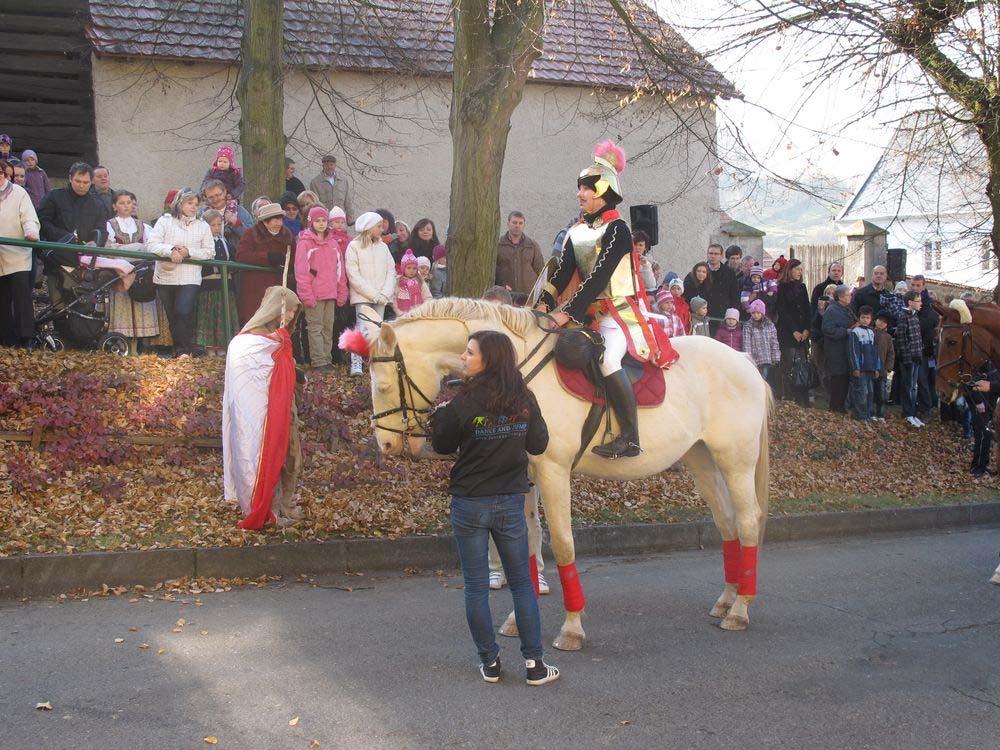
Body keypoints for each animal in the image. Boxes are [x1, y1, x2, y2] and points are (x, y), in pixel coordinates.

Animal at [362, 300, 772, 652]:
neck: (515, 372)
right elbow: (526, 545)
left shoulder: (553, 472)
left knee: (748, 521)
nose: (386, 445)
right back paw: (727, 599)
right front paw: (518, 620)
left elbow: (561, 543)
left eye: (383, 385)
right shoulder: (524, 477)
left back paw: (740, 609)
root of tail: (743, 360)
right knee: (727, 522)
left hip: (735, 461)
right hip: (702, 460)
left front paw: (572, 627)